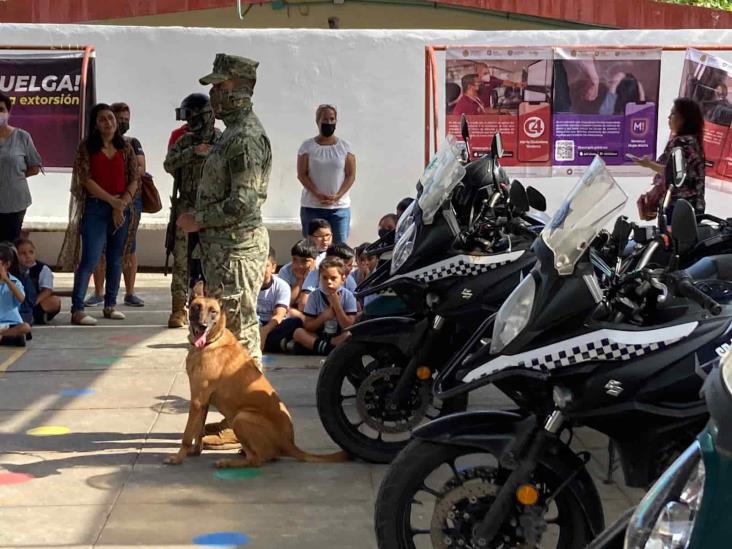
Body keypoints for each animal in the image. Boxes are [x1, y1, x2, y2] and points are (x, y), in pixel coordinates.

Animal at [166, 282, 348, 466]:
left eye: (213, 311)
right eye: (196, 308)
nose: (203, 326)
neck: (211, 341)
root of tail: (289, 443)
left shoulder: (197, 400)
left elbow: (187, 434)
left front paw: (178, 458)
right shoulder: (203, 402)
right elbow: (198, 430)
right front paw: (196, 451)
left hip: (241, 417)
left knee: (257, 459)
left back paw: (228, 462)